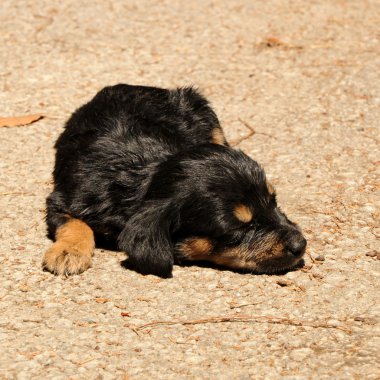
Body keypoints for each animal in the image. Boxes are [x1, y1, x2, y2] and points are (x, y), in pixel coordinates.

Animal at [43, 84, 308, 278]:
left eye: (273, 202)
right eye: (239, 228)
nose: (301, 244)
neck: (142, 174)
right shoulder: (64, 199)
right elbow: (75, 224)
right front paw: (68, 252)